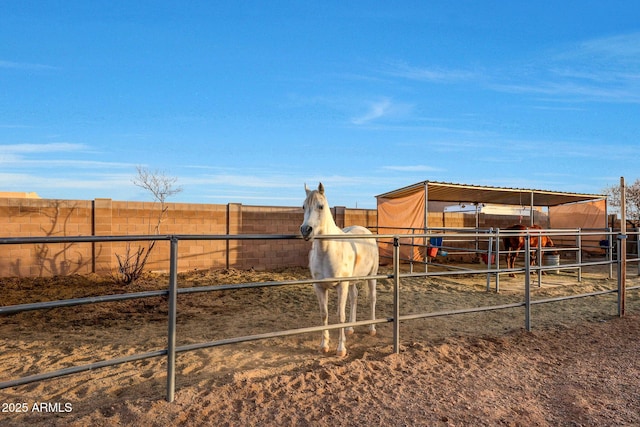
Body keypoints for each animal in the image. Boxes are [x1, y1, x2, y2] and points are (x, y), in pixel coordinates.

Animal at [302, 184, 378, 358]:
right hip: (352, 281)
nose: (305, 230)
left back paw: (371, 329)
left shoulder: (341, 286)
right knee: (354, 297)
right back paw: (350, 328)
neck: (328, 250)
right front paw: (324, 346)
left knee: (372, 298)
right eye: (303, 206)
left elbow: (340, 315)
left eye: (321, 206)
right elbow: (324, 314)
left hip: (372, 277)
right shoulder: (319, 287)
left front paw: (341, 349)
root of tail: (366, 231)